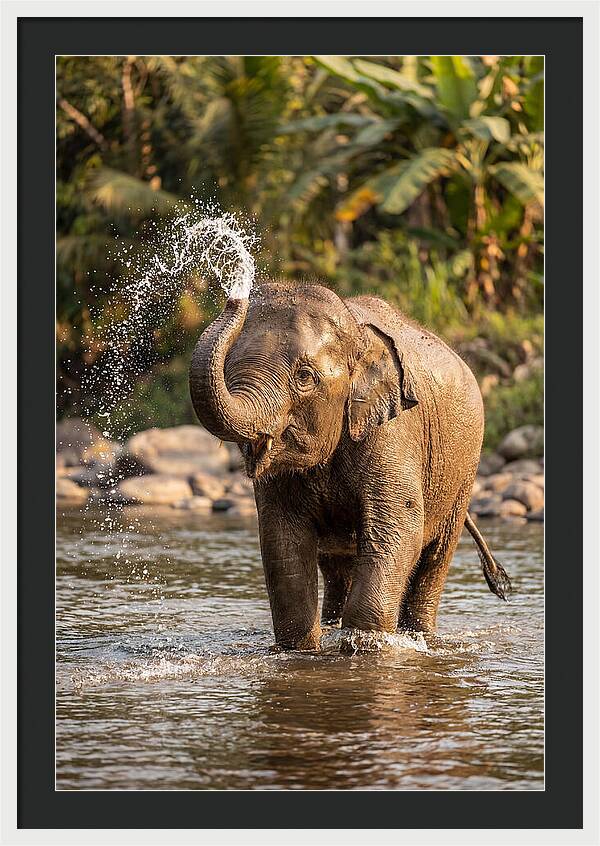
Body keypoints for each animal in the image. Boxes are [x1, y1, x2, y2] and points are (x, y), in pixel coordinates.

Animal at [189, 281, 510, 650]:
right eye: (228, 368)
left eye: (304, 377)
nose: (235, 294)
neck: (356, 333)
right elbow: (282, 540)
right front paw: (303, 648)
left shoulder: (394, 432)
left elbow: (398, 528)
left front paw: (364, 645)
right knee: (336, 565)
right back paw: (333, 625)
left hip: (463, 471)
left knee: (435, 556)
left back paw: (420, 636)